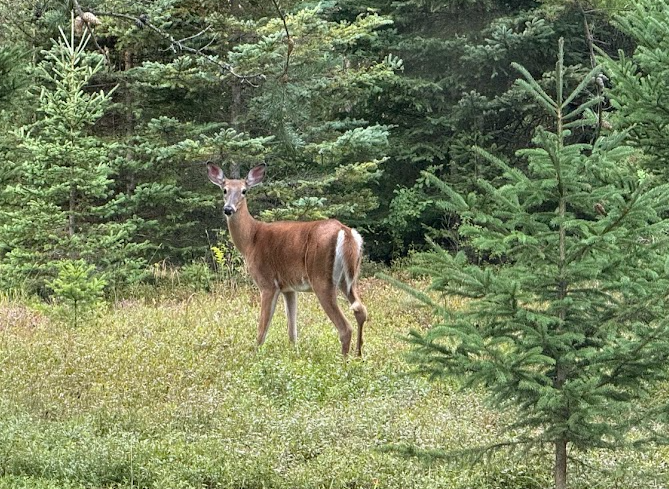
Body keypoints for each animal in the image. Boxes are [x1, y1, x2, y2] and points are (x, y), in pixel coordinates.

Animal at [207, 163, 367, 357]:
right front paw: (293, 354)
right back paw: (358, 355)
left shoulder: (268, 283)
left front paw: (255, 354)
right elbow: (292, 330)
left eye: (244, 191)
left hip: (321, 278)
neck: (250, 240)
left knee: (345, 328)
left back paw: (343, 361)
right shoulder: (289, 287)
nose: (228, 209)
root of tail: (346, 232)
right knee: (361, 311)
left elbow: (262, 328)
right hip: (349, 278)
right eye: (224, 190)